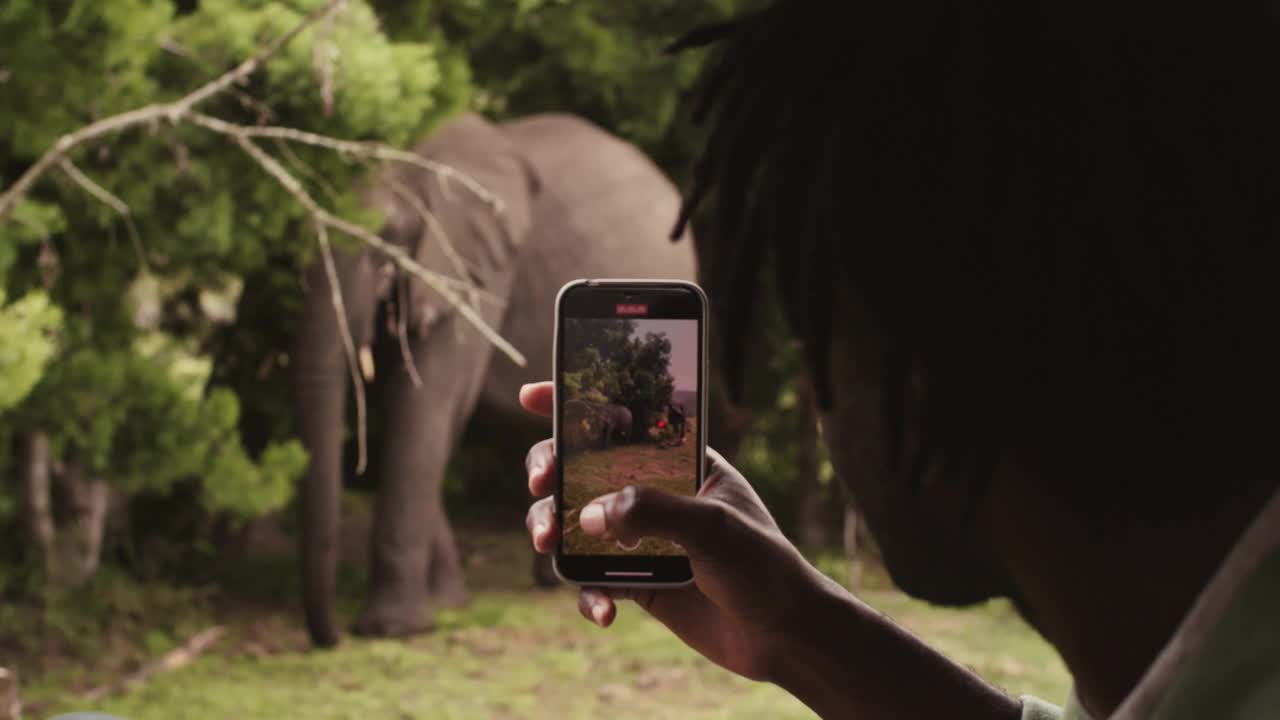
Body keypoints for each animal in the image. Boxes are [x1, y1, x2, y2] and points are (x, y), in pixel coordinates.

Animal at [293, 110, 701, 645]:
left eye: (384, 240)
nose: (333, 639)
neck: (416, 160)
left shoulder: (472, 273)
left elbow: (424, 404)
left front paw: (394, 629)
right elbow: (419, 414)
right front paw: (445, 604)